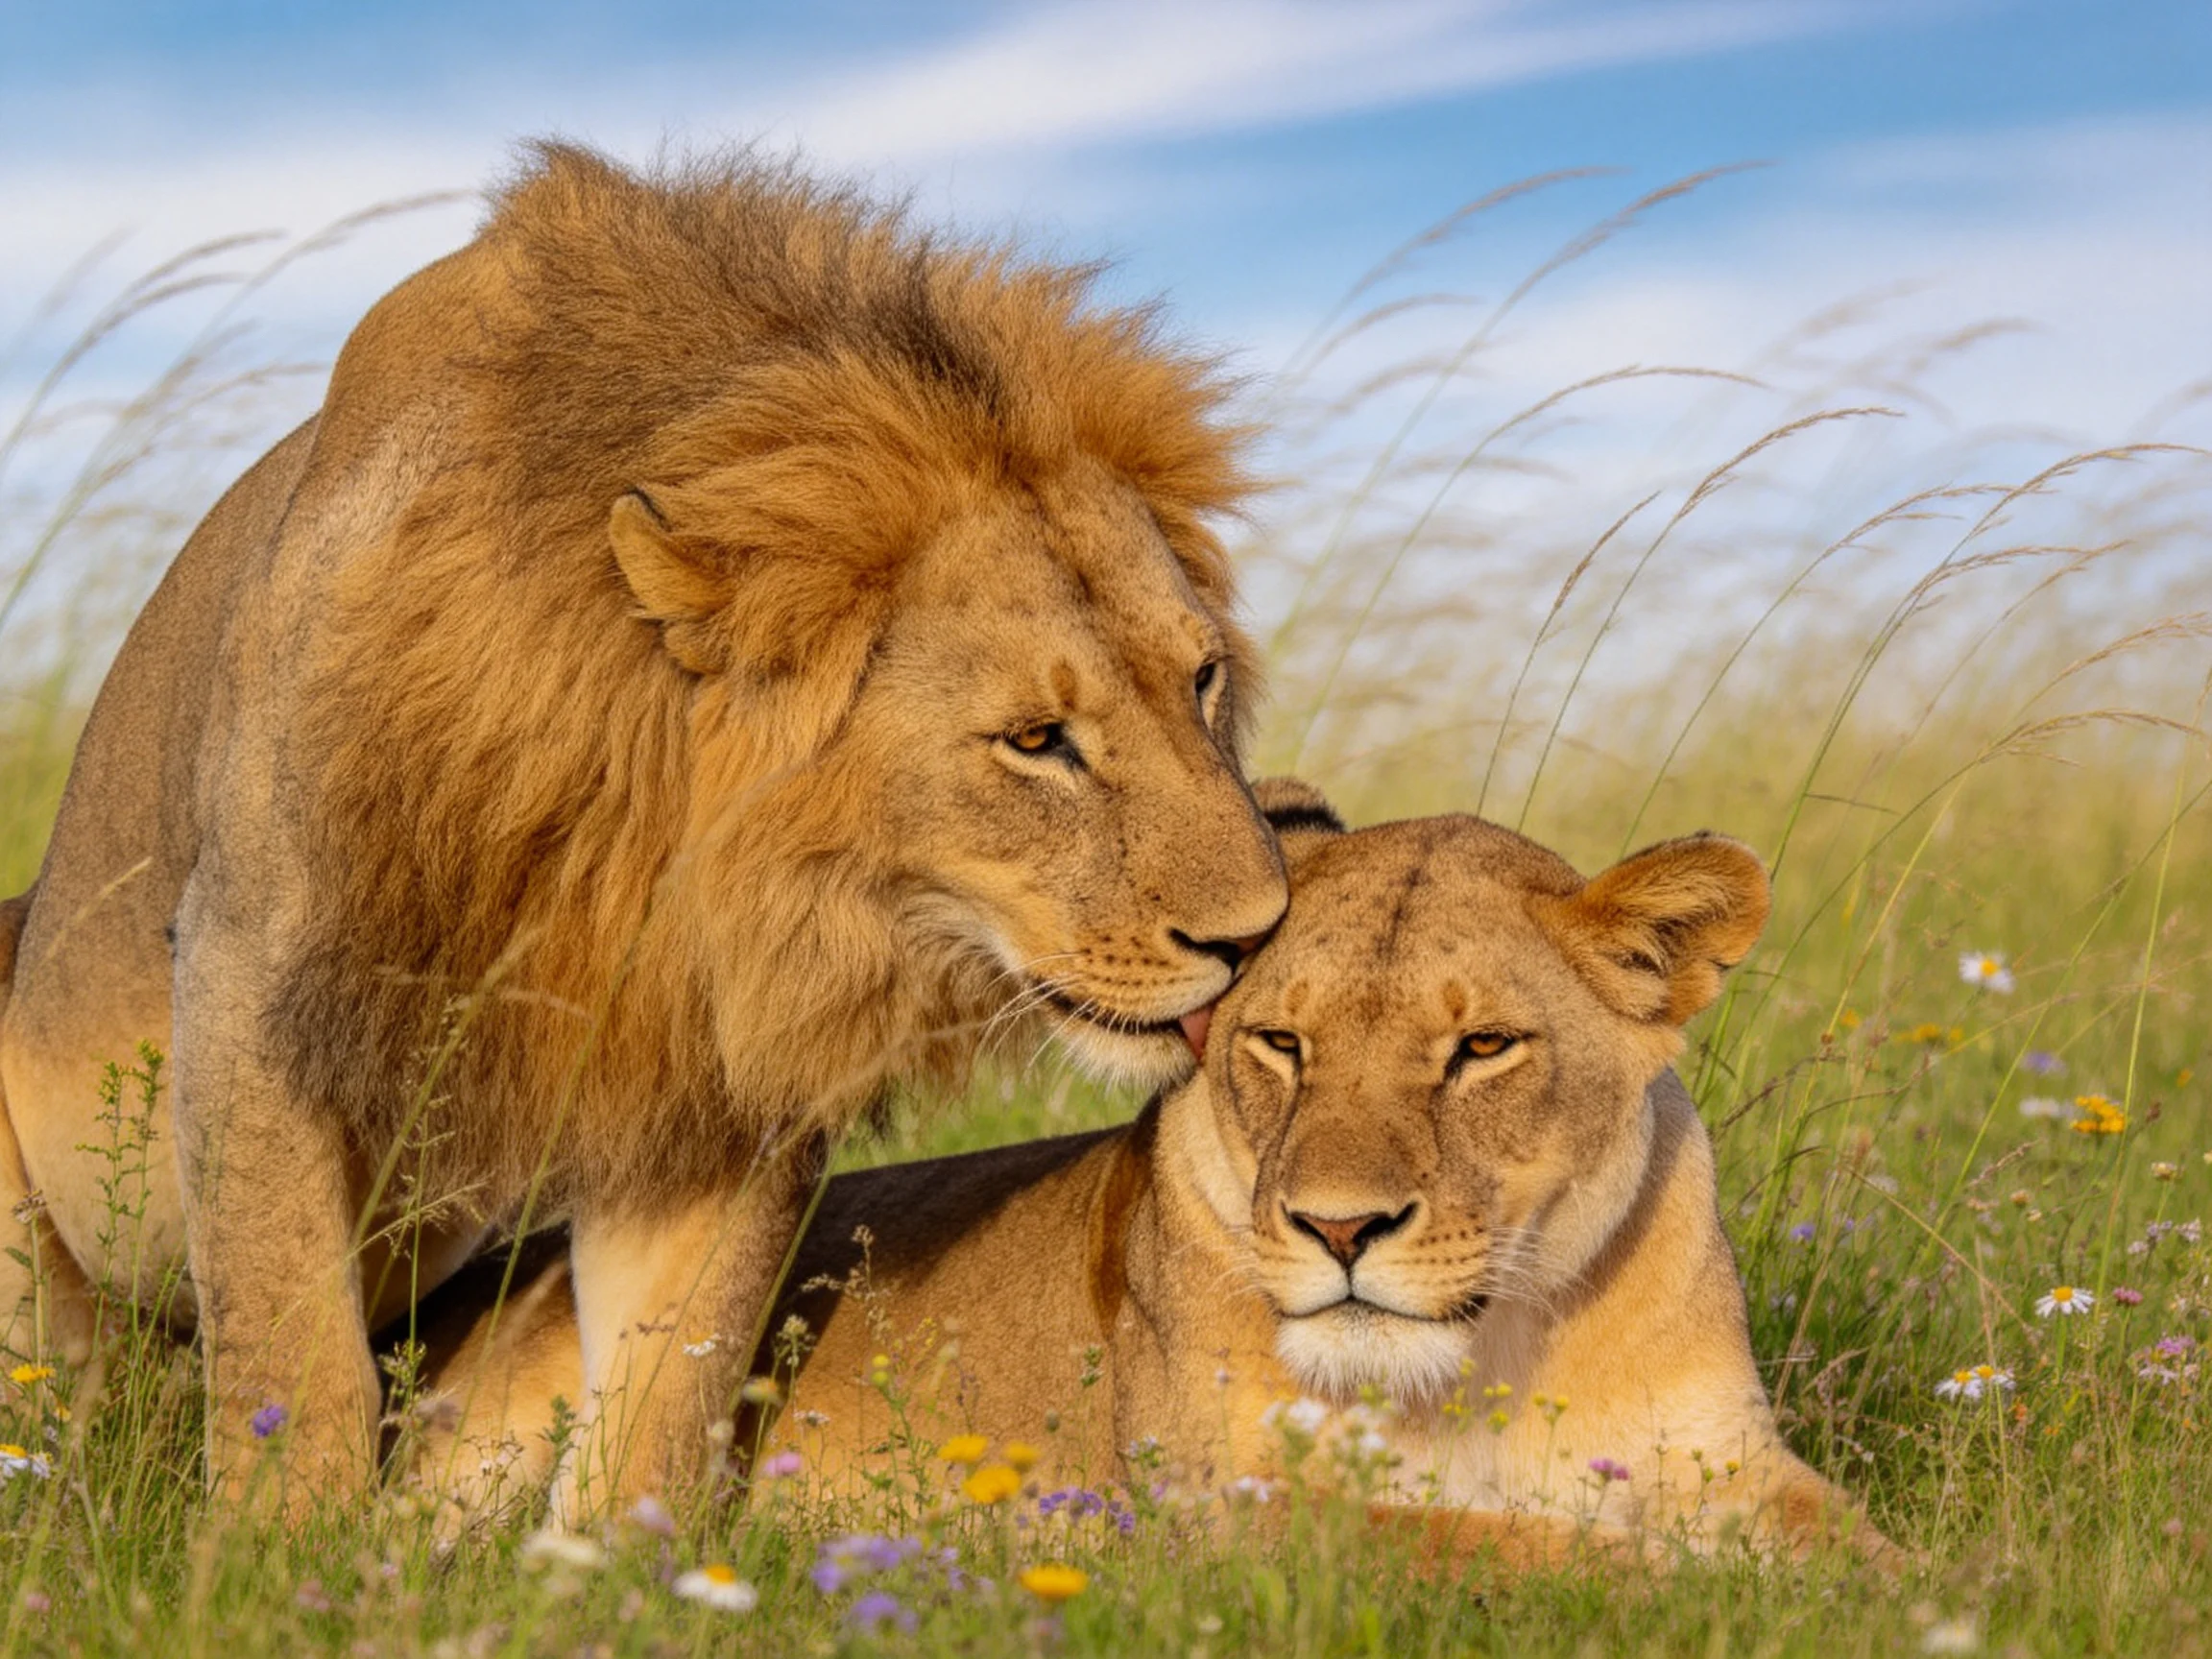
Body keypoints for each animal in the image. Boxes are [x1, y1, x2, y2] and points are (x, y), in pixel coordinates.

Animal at [0, 143, 1288, 1513]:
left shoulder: (710, 1075)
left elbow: (668, 1391)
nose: (1259, 934)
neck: (624, 838)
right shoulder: (249, 976)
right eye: (1038, 741)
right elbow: (291, 1346)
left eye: (1202, 680)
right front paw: (273, 1551)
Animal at [411, 784, 1893, 1567]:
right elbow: (1510, 1546)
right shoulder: (1216, 1509)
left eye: (1482, 1049)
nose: (1340, 1228)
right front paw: (1685, 1580)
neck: (1483, 1363)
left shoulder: (1733, 1455)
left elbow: (1867, 1550)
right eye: (1281, 1045)